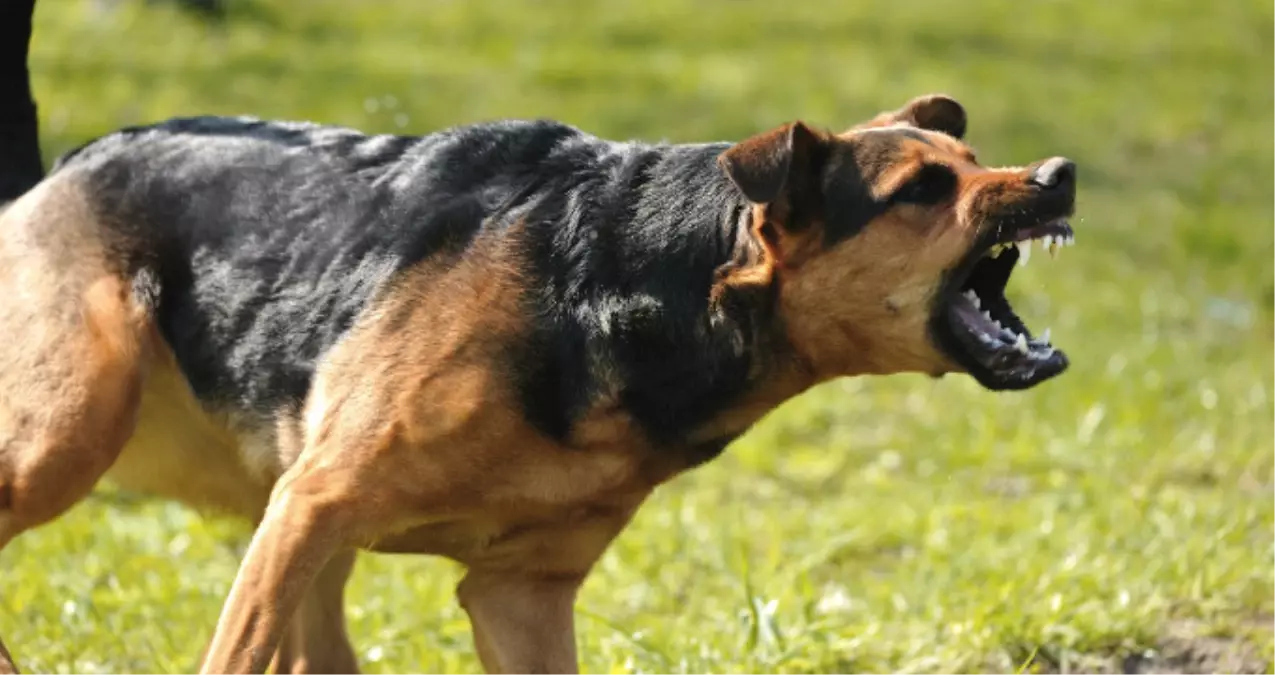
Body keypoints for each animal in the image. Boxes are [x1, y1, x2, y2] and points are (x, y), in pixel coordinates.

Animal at [0, 94, 1076, 673]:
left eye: (973, 159)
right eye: (922, 191)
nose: (1058, 174)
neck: (634, 284)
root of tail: (64, 165)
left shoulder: (519, 593)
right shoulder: (317, 505)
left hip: (290, 525)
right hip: (73, 437)